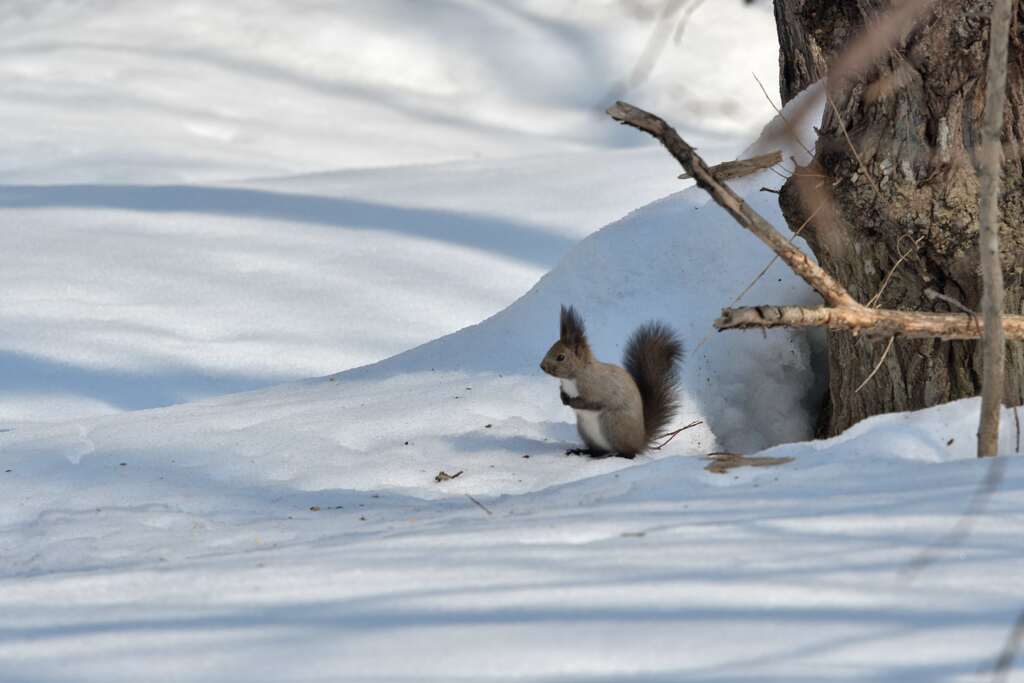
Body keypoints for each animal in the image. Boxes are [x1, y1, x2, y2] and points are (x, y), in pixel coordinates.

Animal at [540, 305, 684, 458]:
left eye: (561, 357)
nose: (542, 366)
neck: (572, 378)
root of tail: (640, 441)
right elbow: (562, 392)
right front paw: (562, 397)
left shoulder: (598, 389)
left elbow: (591, 403)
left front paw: (572, 402)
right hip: (586, 431)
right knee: (597, 450)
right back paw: (584, 452)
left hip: (613, 425)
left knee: (629, 452)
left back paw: (616, 455)